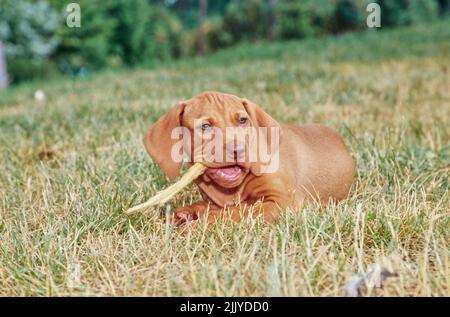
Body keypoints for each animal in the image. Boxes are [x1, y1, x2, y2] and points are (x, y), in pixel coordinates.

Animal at [144, 91, 356, 225]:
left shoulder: (282, 202)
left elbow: (238, 211)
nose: (238, 149)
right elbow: (212, 205)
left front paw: (199, 223)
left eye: (242, 120)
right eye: (205, 126)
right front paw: (185, 213)